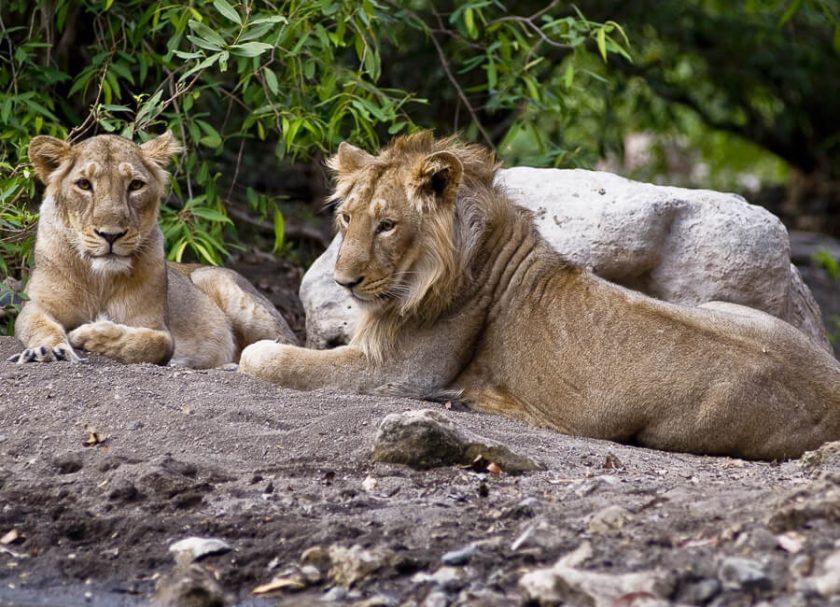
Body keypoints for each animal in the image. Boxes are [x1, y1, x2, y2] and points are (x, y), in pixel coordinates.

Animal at [10, 132, 297, 368]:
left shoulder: (156, 325)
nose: (111, 235)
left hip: (224, 287)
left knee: (286, 344)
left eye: (135, 185)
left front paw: (90, 332)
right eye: (84, 184)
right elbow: (39, 325)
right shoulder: (35, 305)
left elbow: (155, 344)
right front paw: (49, 350)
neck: (99, 278)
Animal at [240, 132, 840, 460]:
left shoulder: (399, 373)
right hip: (724, 305)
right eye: (347, 218)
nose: (344, 282)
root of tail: (831, 386)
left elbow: (268, 357)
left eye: (387, 225)